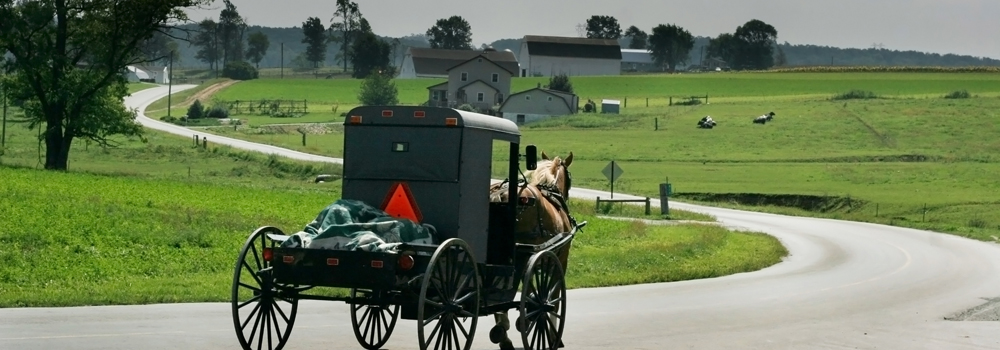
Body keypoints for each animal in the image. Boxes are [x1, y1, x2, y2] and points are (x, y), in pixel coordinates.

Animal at [488, 152, 576, 350]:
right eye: (570, 177)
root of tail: (499, 194)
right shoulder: (560, 260)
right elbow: (553, 297)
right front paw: (553, 336)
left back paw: (503, 333)